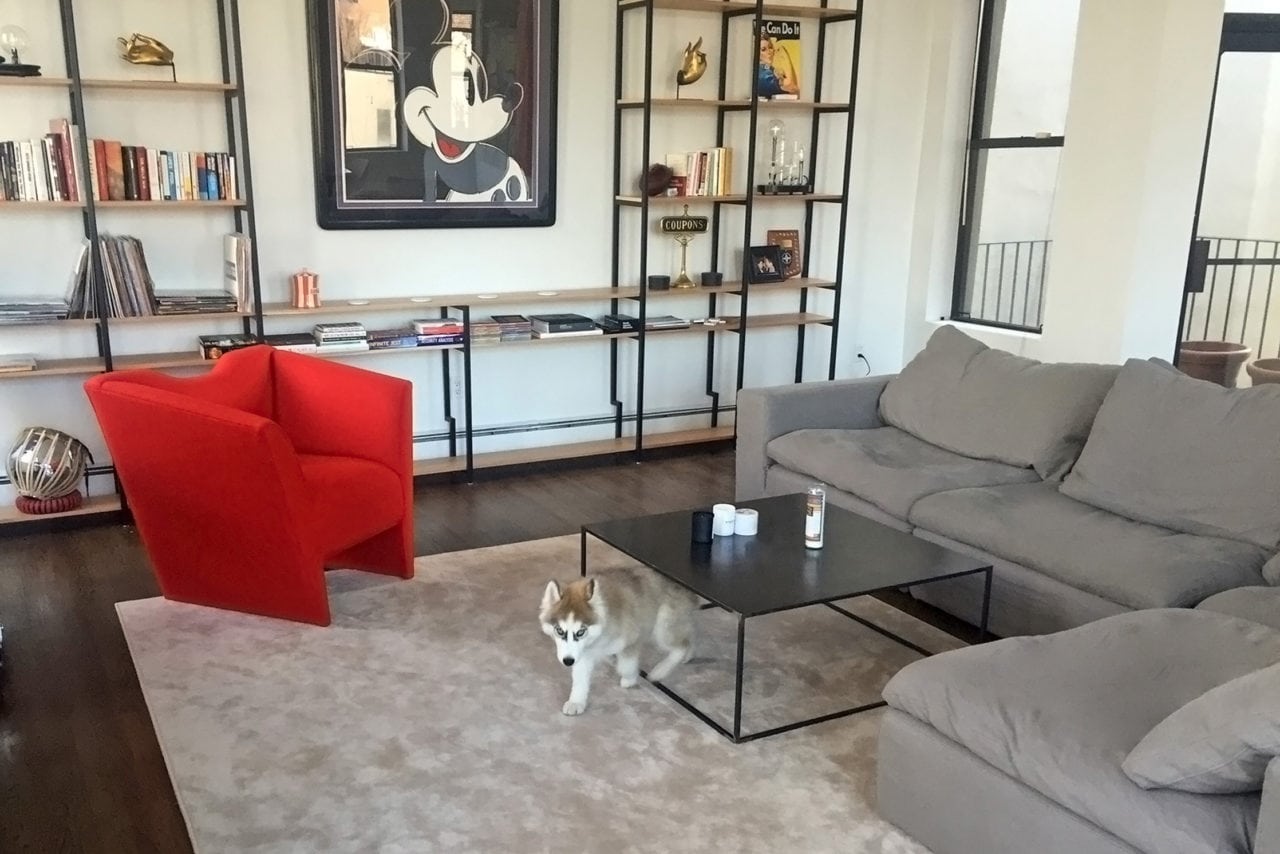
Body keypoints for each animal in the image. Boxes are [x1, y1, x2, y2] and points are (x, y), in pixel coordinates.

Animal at [539, 569, 696, 716]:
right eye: (559, 630)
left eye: (580, 632)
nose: (567, 661)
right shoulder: (583, 654)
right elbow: (580, 678)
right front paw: (576, 702)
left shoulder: (632, 638)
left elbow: (625, 665)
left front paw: (630, 679)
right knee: (688, 635)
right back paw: (689, 654)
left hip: (662, 627)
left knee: (681, 646)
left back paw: (660, 671)